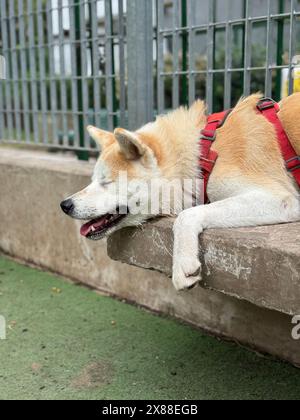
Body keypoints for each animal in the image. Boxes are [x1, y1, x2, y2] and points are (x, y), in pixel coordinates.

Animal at [61, 94, 300, 292]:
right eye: (93, 180)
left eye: (106, 182)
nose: (65, 205)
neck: (204, 153)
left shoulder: (280, 198)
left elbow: (186, 215)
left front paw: (183, 264)